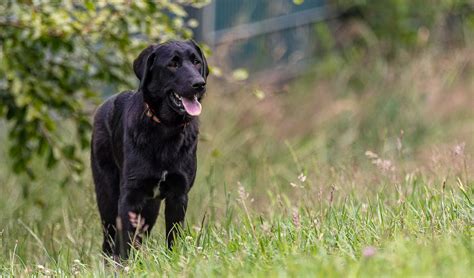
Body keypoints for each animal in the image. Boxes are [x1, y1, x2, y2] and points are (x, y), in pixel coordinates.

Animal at [91, 39, 209, 258]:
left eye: (196, 62)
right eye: (173, 64)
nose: (199, 84)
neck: (166, 130)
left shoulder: (178, 195)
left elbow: (173, 237)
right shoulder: (130, 197)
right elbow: (125, 244)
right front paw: (125, 265)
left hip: (150, 208)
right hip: (108, 199)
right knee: (109, 243)